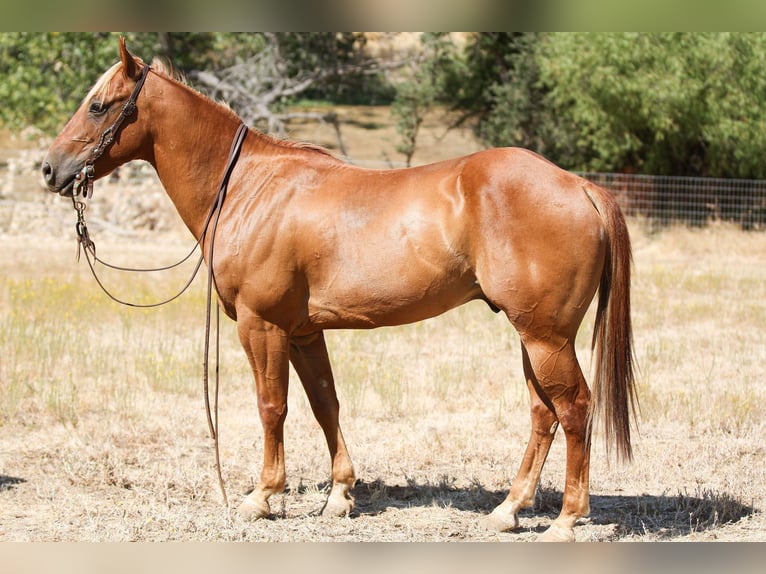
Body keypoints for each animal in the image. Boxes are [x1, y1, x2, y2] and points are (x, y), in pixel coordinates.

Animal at [41, 38, 636, 542]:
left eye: (99, 106)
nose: (48, 169)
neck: (249, 188)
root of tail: (579, 185)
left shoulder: (263, 325)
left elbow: (272, 407)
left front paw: (262, 496)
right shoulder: (305, 332)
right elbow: (325, 403)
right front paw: (340, 494)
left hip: (545, 336)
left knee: (575, 409)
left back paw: (566, 520)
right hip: (533, 335)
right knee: (543, 413)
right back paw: (508, 510)